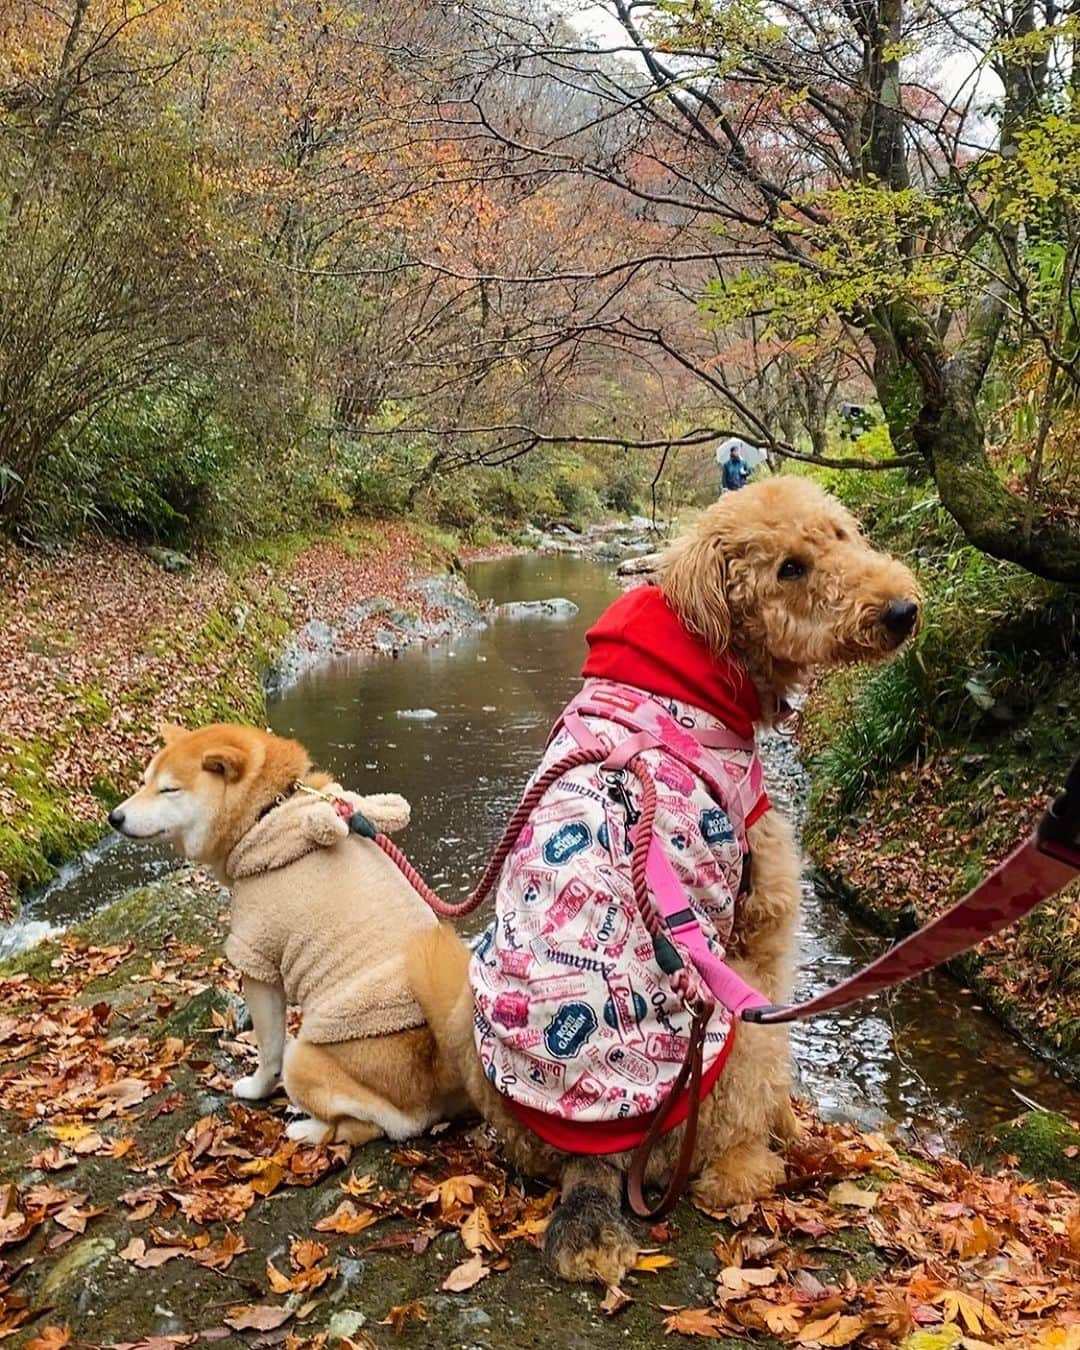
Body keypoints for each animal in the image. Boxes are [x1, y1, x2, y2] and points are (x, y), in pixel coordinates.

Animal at [410, 477, 918, 1285]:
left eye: (842, 533)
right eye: (789, 569)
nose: (902, 611)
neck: (695, 672)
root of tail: (596, 1157)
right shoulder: (763, 915)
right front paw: (792, 1127)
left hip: (467, 1013)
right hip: (739, 1042)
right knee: (725, 1168)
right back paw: (766, 1161)